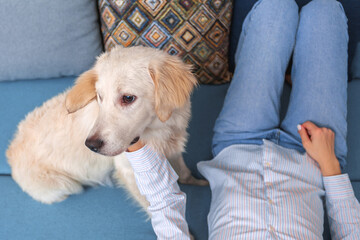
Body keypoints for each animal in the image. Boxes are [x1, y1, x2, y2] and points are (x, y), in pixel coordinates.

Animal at [5, 45, 207, 210]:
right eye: (99, 96)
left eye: (128, 98)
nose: (91, 146)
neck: (159, 130)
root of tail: (10, 152)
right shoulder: (128, 170)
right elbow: (153, 206)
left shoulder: (174, 147)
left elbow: (185, 172)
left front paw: (200, 183)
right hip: (66, 186)